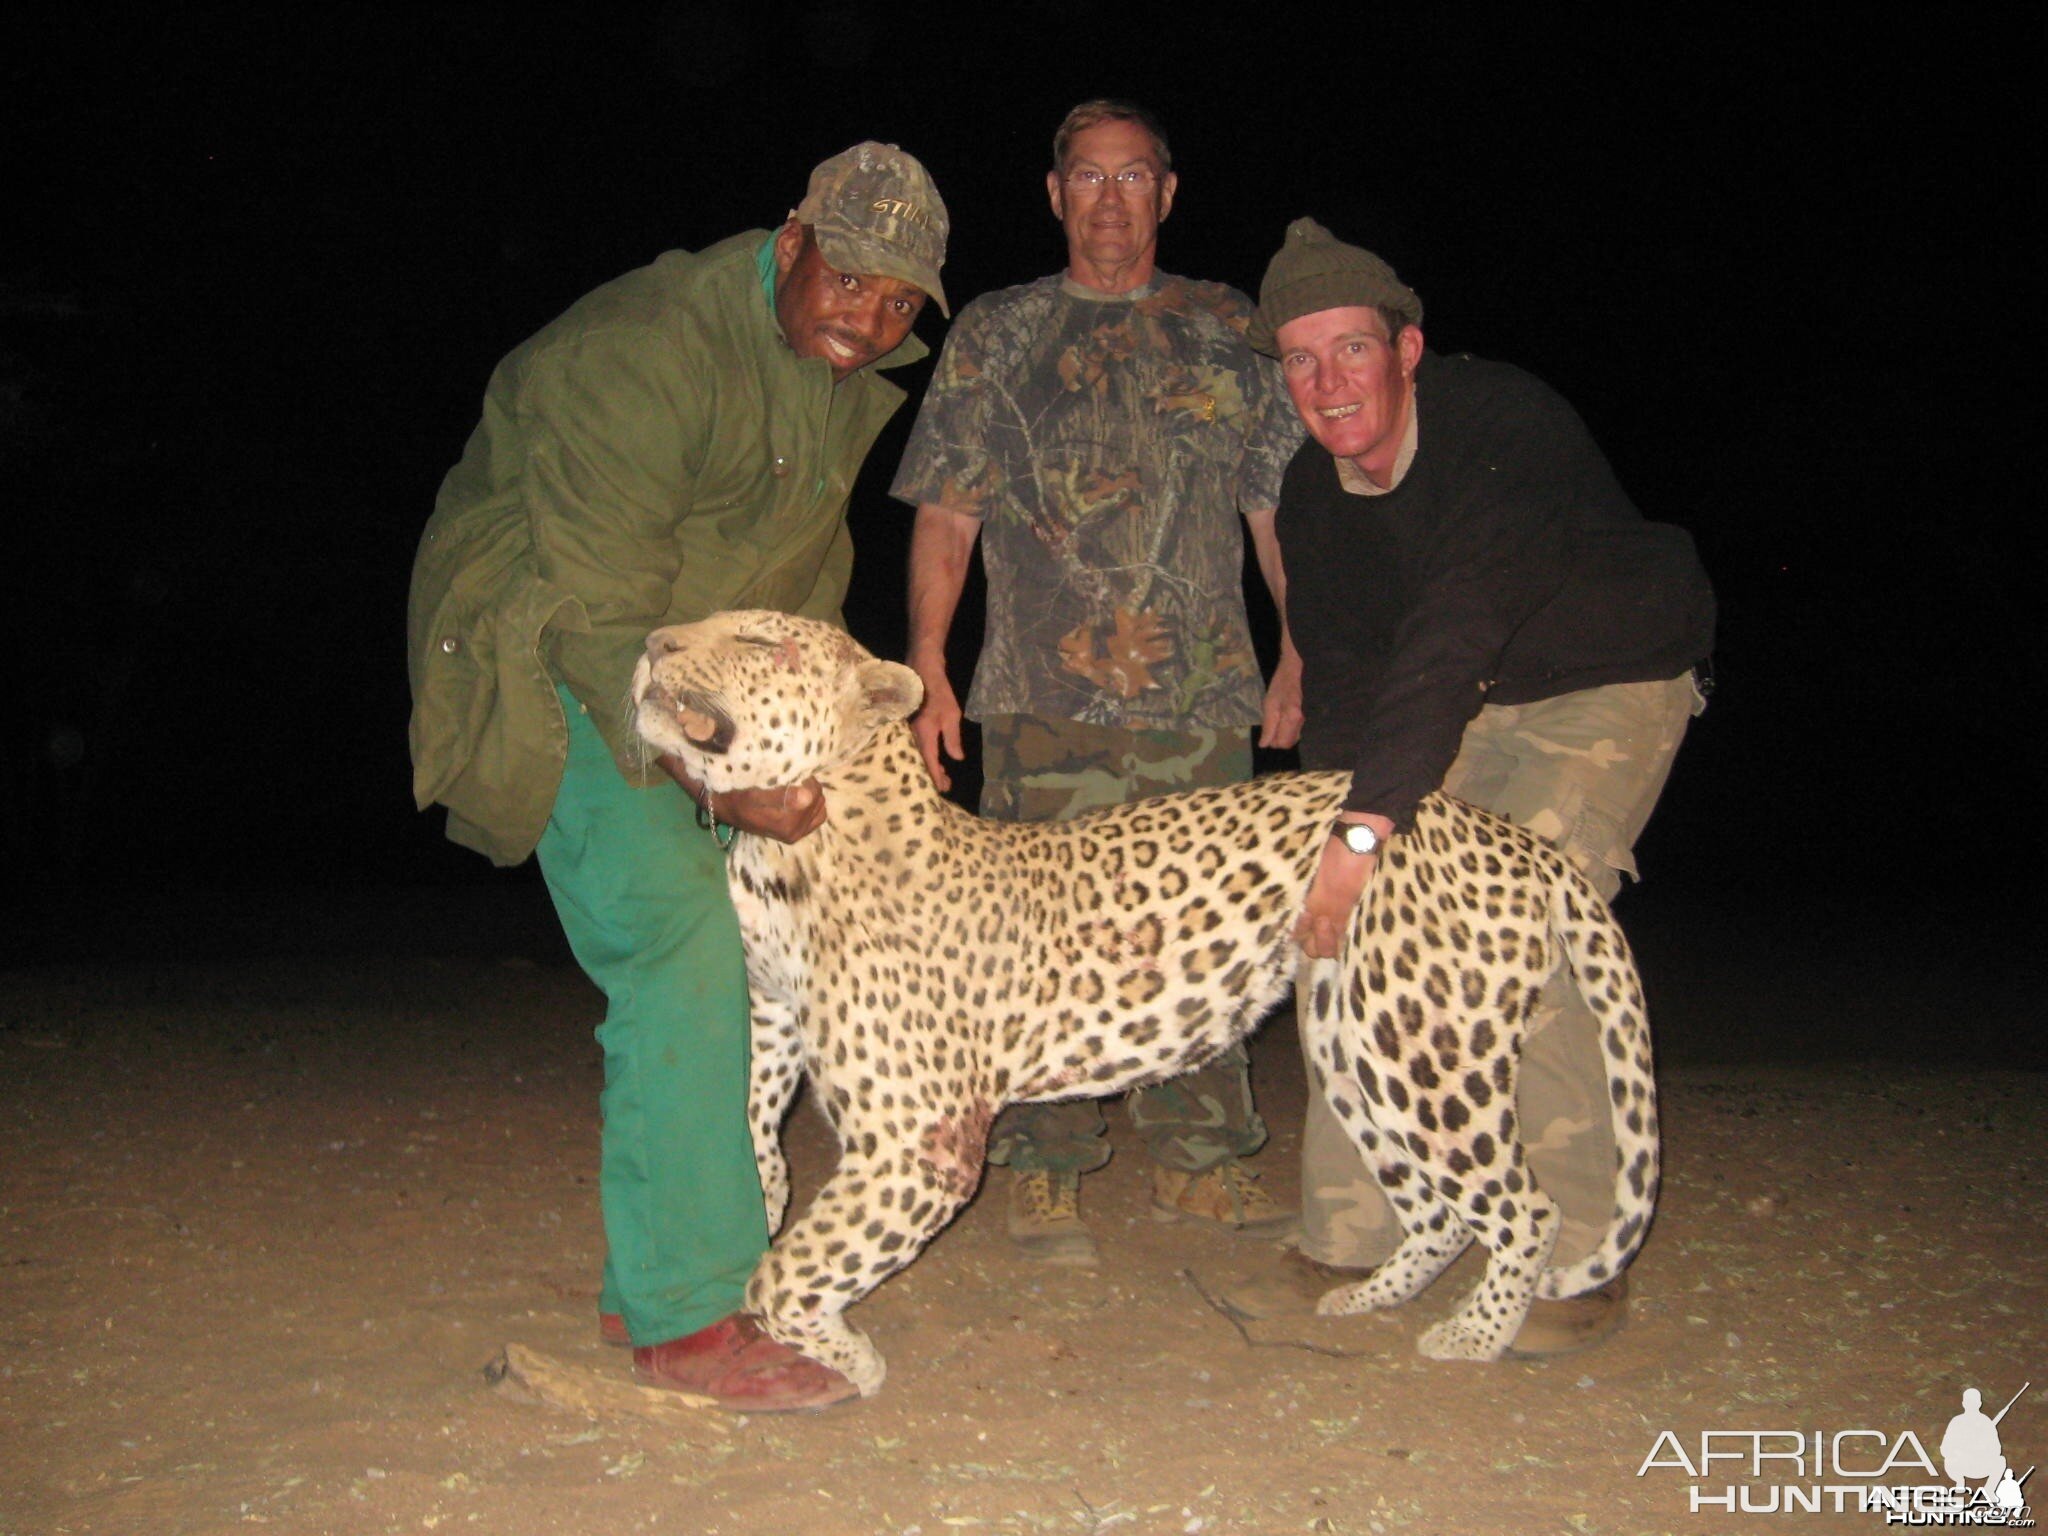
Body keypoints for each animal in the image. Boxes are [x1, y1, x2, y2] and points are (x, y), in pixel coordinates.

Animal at [630, 610, 1654, 1392]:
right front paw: (760, 1213)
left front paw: (847, 1353)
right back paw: (1365, 1298)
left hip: (1428, 1052)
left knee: (1525, 1208)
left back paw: (1476, 1336)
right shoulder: (772, 1028)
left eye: (761, 640)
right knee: (1439, 1211)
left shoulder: (916, 1140)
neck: (782, 855)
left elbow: (789, 1274)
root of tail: (1506, 832)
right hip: (1354, 1044)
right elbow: (750, 1139)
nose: (652, 640)